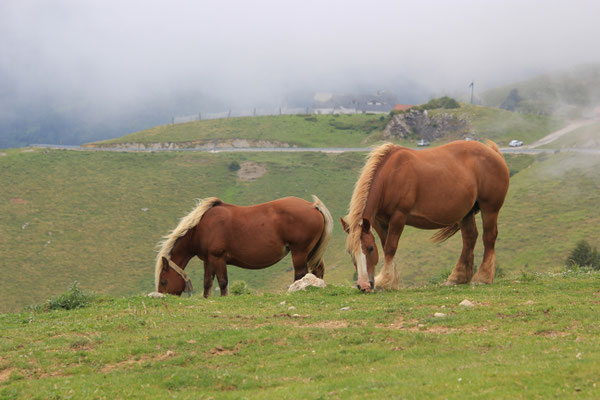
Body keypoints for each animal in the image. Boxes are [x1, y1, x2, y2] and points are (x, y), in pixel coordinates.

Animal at [155, 197, 332, 296]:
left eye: (163, 281)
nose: (163, 297)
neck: (202, 227)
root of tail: (313, 206)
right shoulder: (208, 260)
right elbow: (207, 283)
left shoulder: (218, 258)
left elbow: (223, 282)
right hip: (311, 252)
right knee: (317, 271)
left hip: (299, 252)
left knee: (301, 274)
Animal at [342, 142, 506, 292]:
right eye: (350, 252)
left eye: (370, 248)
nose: (364, 285)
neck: (391, 177)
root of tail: (493, 151)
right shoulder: (379, 222)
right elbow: (385, 246)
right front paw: (391, 282)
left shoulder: (399, 217)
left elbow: (390, 247)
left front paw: (384, 282)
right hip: (466, 213)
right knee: (469, 239)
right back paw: (456, 278)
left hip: (489, 209)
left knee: (489, 237)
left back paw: (482, 278)